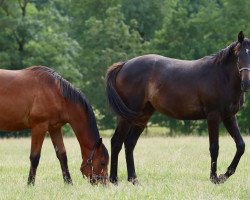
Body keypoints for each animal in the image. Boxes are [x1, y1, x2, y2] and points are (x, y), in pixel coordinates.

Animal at [105, 30, 248, 184]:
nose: (246, 83)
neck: (221, 76)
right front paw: (214, 178)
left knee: (129, 143)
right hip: (126, 117)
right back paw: (114, 179)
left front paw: (224, 175)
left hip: (142, 116)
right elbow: (214, 148)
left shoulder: (229, 117)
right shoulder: (213, 116)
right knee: (116, 142)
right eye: (239, 56)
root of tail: (124, 65)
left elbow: (241, 145)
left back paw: (133, 179)